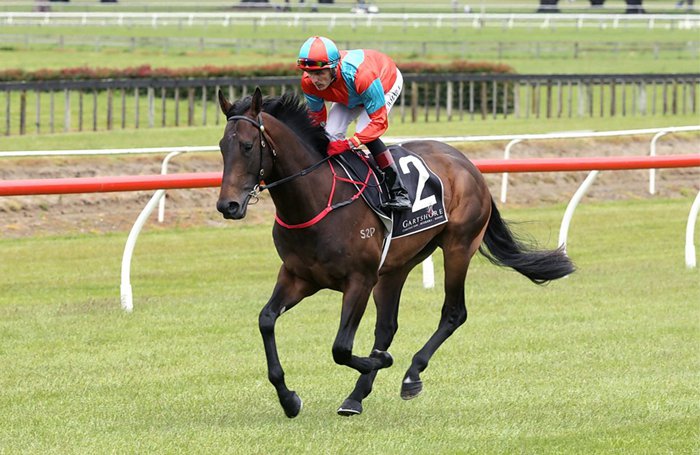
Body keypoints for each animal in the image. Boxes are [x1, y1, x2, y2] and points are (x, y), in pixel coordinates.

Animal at [216, 87, 575, 418]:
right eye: (221, 147)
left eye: (247, 146)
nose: (228, 205)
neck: (316, 200)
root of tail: (466, 163)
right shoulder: (298, 276)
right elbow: (266, 320)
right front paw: (289, 398)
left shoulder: (359, 280)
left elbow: (341, 348)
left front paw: (380, 361)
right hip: (396, 267)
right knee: (387, 326)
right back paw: (356, 397)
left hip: (459, 246)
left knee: (454, 312)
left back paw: (411, 375)